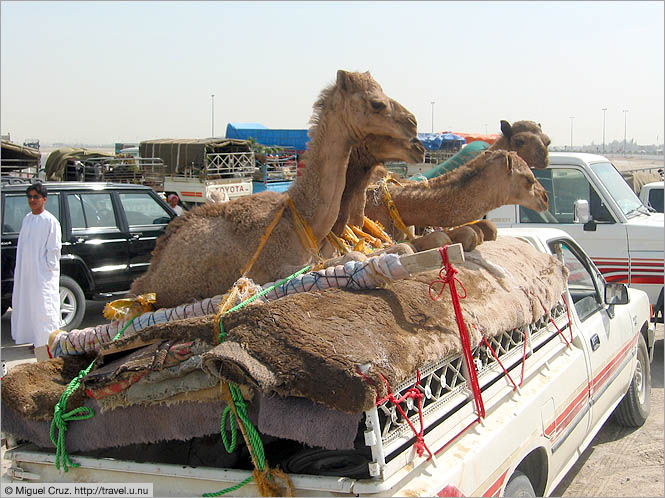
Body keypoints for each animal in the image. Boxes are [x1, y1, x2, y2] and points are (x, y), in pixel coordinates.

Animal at [130, 69, 420, 308]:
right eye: (377, 103)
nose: (414, 125)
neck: (303, 218)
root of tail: (143, 282)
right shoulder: (279, 268)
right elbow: (357, 258)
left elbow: (404, 248)